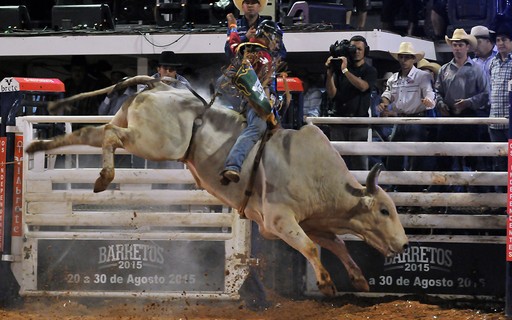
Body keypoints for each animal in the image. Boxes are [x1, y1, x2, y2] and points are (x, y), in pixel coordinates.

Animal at [27, 76, 408, 296]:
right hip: (154, 142)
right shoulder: (279, 221)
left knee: (92, 132)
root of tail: (162, 87)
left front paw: (358, 280)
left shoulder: (315, 222)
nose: (404, 244)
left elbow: (337, 244)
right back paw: (103, 177)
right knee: (109, 135)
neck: (321, 178)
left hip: (132, 126)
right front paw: (328, 284)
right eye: (384, 210)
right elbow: (313, 248)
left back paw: (38, 146)